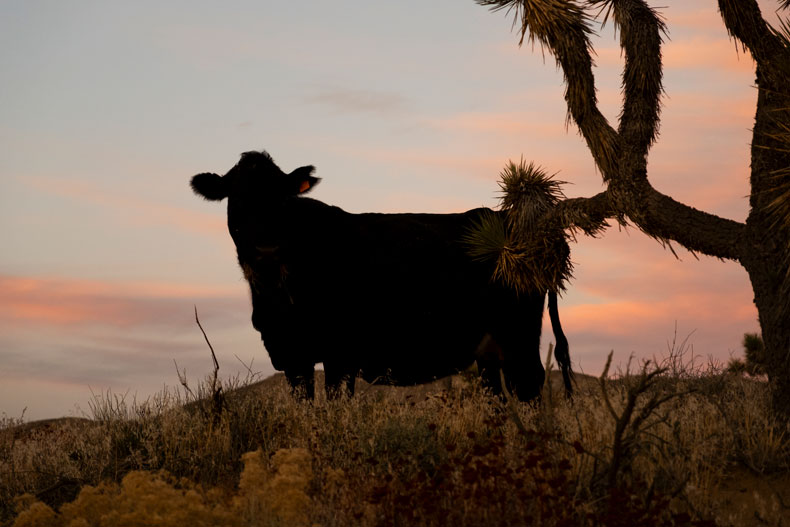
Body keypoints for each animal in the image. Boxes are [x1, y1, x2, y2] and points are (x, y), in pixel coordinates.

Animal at [192, 151, 576, 402]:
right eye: (236, 197)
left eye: (284, 199)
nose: (267, 247)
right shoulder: (290, 353)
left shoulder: (341, 352)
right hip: (488, 350)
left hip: (517, 335)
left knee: (528, 387)